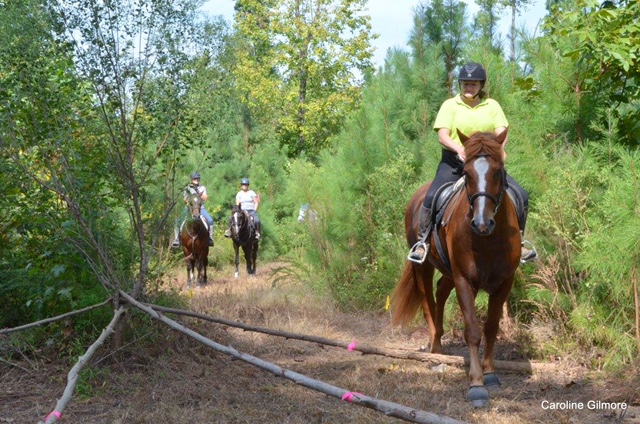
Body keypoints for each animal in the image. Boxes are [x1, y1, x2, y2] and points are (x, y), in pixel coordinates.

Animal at [392, 130, 521, 408]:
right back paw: (436, 352)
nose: (482, 223)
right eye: (467, 173)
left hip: (448, 270)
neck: (488, 239)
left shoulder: (505, 282)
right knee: (428, 302)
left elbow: (491, 327)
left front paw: (490, 374)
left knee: (441, 290)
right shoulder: (464, 280)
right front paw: (476, 385)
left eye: (498, 171)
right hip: (424, 268)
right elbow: (472, 330)